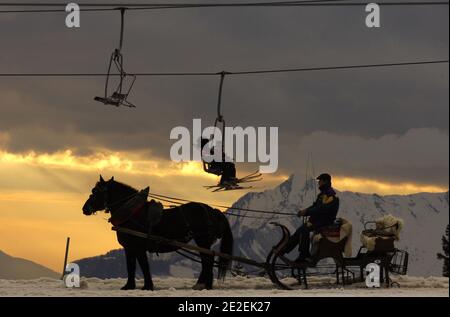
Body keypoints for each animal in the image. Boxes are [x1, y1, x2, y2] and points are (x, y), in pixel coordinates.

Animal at [82, 174, 234, 290]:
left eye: (96, 192)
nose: (85, 209)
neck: (132, 213)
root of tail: (211, 210)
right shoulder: (129, 248)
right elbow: (130, 266)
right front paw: (129, 286)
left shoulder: (138, 247)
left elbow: (143, 266)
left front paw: (147, 286)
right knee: (206, 260)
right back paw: (203, 285)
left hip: (203, 241)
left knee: (207, 260)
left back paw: (203, 285)